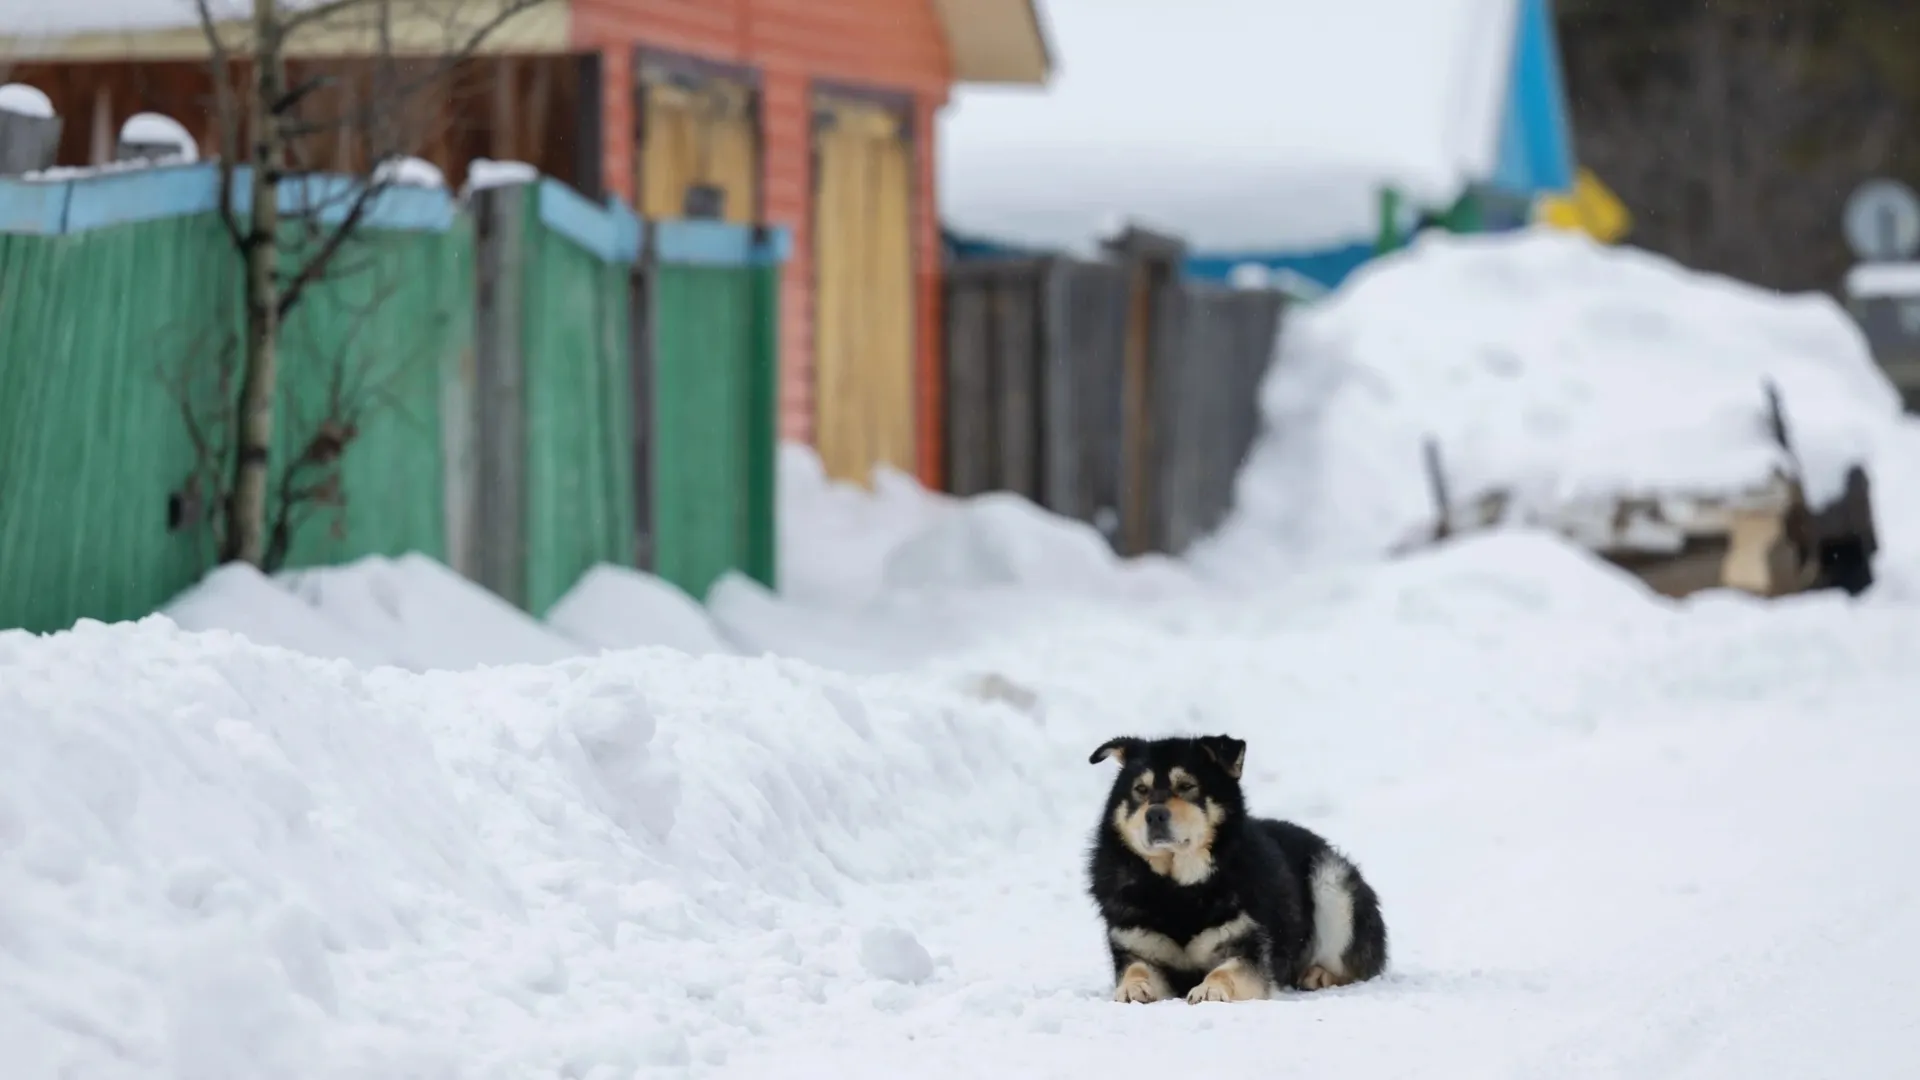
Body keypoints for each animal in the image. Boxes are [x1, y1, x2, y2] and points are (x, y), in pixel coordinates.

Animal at [1090, 730, 1390, 999]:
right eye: (1140, 790)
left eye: (1187, 786)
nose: (1154, 815)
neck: (1179, 889)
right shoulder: (1137, 947)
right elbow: (1136, 969)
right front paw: (1132, 986)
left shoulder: (1247, 948)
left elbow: (1227, 971)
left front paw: (1210, 988)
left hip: (1332, 886)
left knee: (1354, 964)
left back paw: (1319, 975)